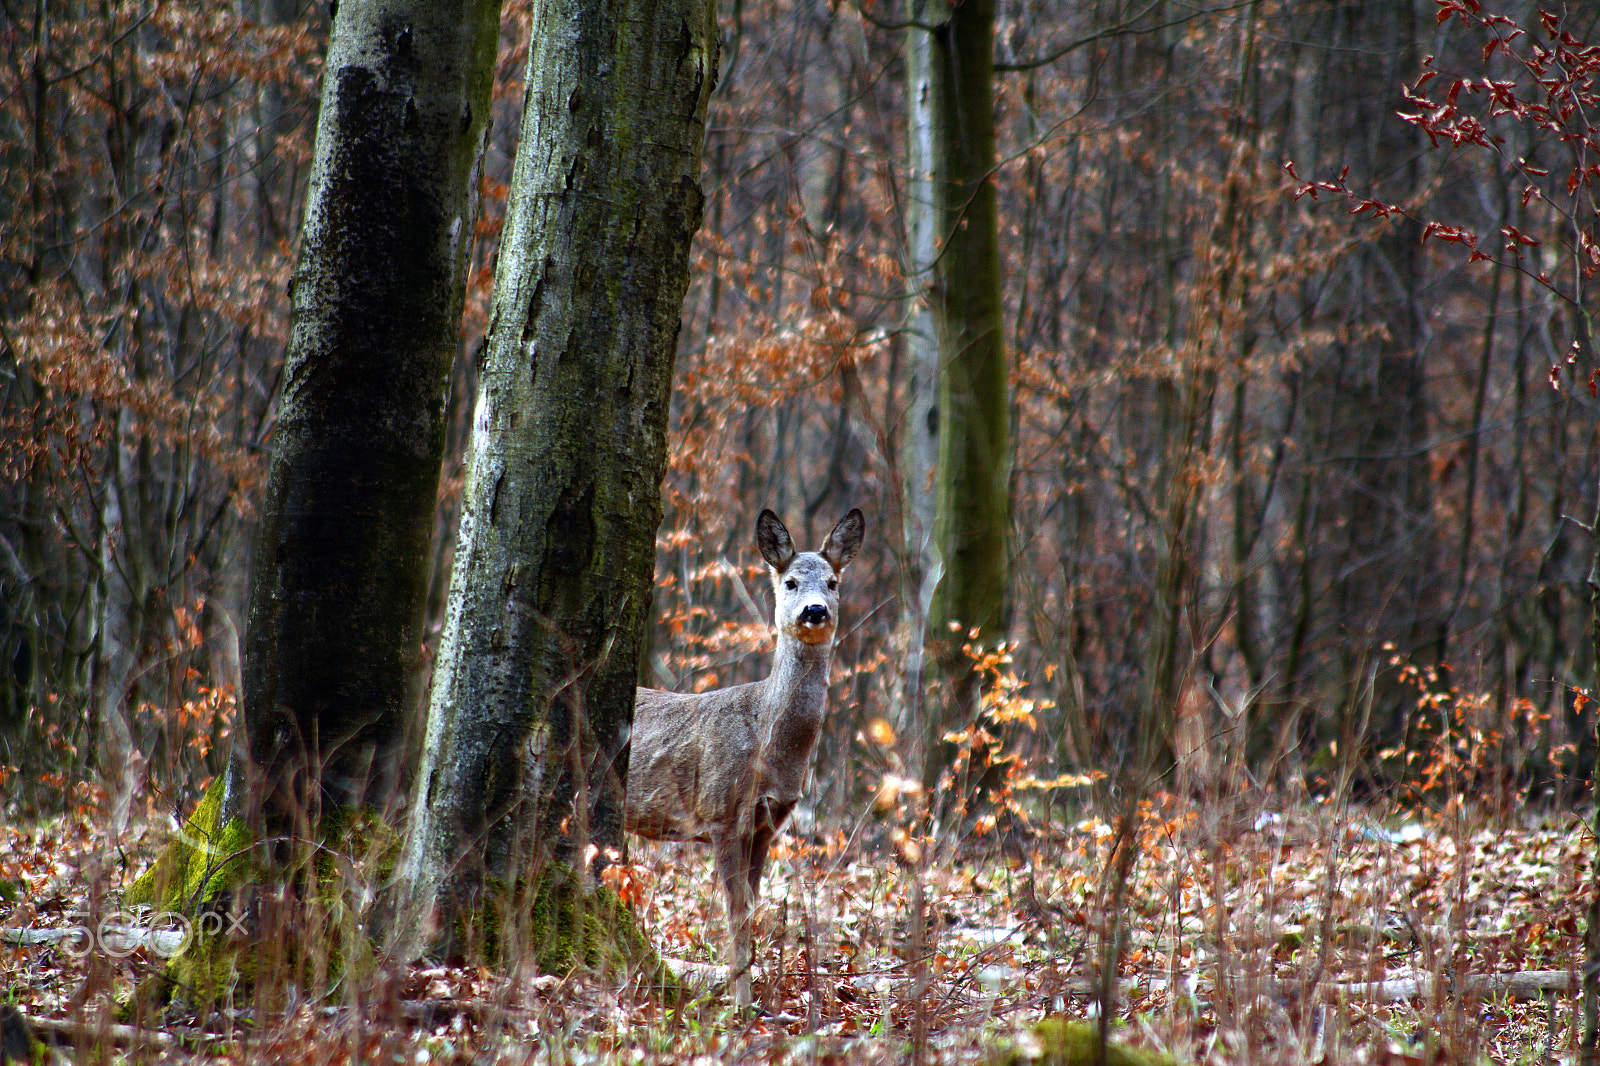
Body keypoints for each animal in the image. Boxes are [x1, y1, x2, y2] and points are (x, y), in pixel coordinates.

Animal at [627, 505, 870, 1005]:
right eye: (791, 582)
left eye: (833, 581)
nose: (815, 610)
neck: (769, 743)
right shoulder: (720, 812)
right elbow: (735, 913)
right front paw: (740, 1004)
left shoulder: (767, 824)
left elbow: (754, 909)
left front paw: (754, 996)